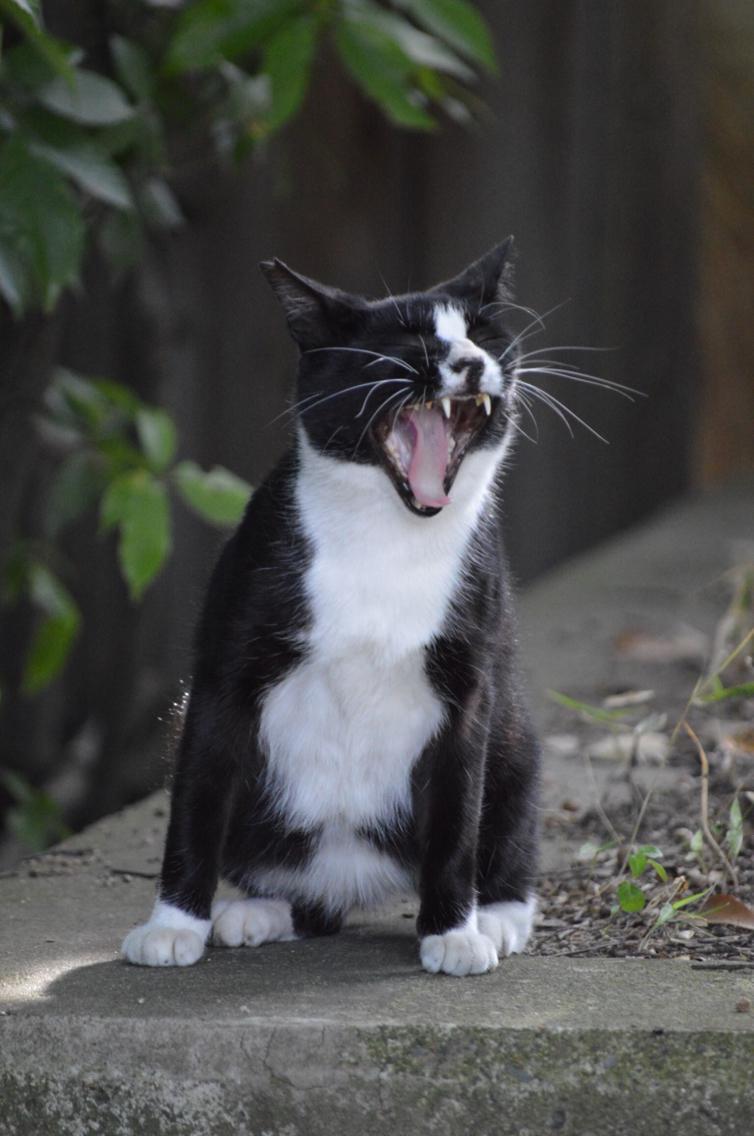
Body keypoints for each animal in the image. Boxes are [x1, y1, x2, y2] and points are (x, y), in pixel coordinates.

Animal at [122, 239, 542, 976]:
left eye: (483, 334)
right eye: (408, 341)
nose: (469, 362)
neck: (387, 537)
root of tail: (353, 883)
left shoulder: (471, 687)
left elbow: (458, 813)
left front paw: (454, 931)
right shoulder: (223, 674)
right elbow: (196, 802)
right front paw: (172, 923)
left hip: (515, 733)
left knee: (509, 804)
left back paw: (497, 916)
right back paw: (261, 910)